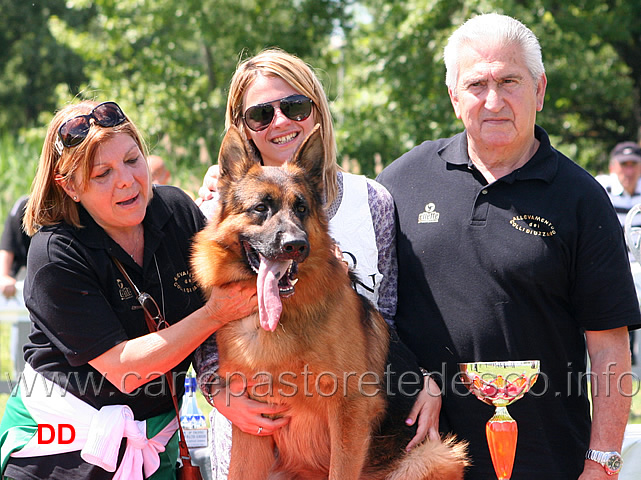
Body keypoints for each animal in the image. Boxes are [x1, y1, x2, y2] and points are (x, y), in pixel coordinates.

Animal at [190, 125, 464, 478]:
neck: (281, 321)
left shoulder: (349, 413)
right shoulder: (253, 423)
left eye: (302, 208)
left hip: (435, 455)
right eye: (261, 208)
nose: (296, 245)